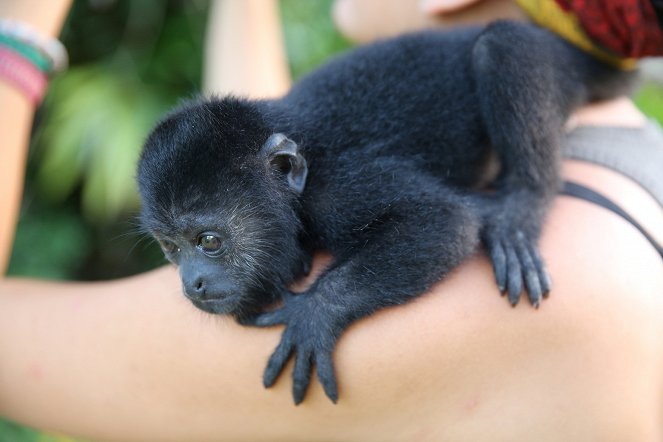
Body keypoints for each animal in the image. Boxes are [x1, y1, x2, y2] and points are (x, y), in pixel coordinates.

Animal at [137, 22, 636, 406]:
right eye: (171, 249)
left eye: (208, 241)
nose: (192, 283)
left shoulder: (338, 189)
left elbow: (444, 222)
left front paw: (315, 313)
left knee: (499, 45)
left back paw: (522, 206)